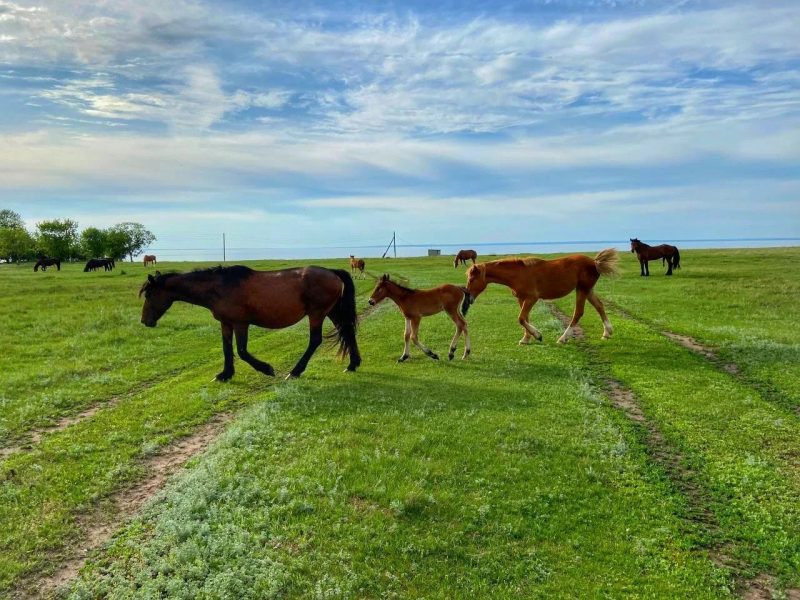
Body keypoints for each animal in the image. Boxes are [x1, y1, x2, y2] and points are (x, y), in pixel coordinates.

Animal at [139, 265, 361, 380]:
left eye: (149, 294)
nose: (144, 321)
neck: (219, 287)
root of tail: (333, 272)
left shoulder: (240, 323)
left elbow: (242, 351)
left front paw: (267, 369)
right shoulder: (226, 323)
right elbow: (227, 349)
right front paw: (225, 374)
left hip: (317, 313)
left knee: (315, 340)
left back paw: (295, 371)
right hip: (332, 311)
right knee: (348, 331)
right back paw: (352, 365)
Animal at [466, 249, 619, 345]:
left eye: (472, 279)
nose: (469, 298)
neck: (518, 274)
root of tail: (594, 262)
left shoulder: (531, 298)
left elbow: (521, 318)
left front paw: (537, 335)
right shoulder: (522, 299)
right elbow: (525, 318)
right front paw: (526, 339)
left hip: (582, 289)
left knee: (578, 313)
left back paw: (563, 338)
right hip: (587, 290)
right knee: (599, 305)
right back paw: (607, 332)